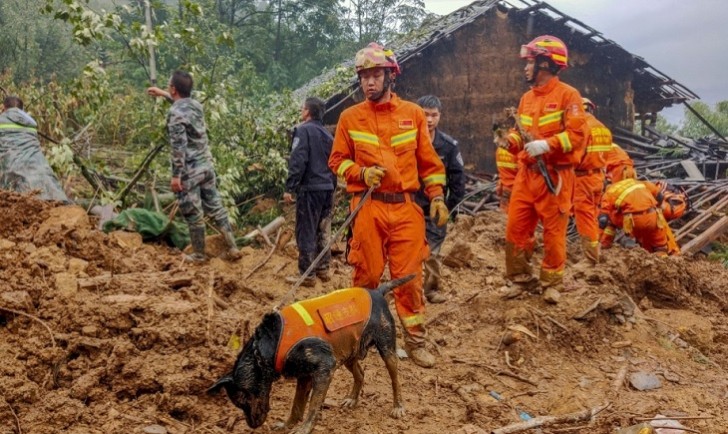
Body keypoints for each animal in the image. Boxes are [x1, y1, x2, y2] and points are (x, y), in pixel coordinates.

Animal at [208, 274, 412, 434]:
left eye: (242, 400)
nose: (252, 425)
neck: (268, 345)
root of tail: (377, 292)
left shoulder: (324, 369)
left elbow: (313, 405)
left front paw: (305, 428)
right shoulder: (304, 376)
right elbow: (297, 406)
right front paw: (288, 425)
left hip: (385, 346)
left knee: (395, 378)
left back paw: (398, 406)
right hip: (348, 349)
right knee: (360, 373)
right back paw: (352, 399)